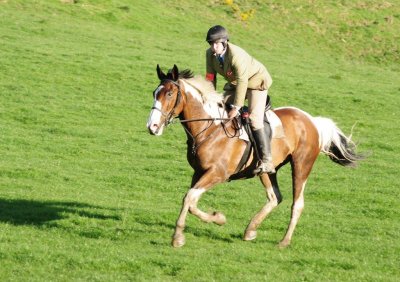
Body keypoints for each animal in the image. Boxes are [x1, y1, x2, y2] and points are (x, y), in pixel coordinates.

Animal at [146, 65, 362, 248]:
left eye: (170, 94)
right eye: (155, 93)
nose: (152, 127)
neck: (210, 128)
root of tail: (312, 120)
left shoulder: (218, 173)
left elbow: (189, 197)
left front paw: (178, 237)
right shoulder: (199, 172)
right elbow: (191, 201)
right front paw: (217, 218)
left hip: (301, 165)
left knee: (297, 204)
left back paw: (284, 241)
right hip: (267, 170)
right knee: (274, 197)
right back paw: (250, 230)